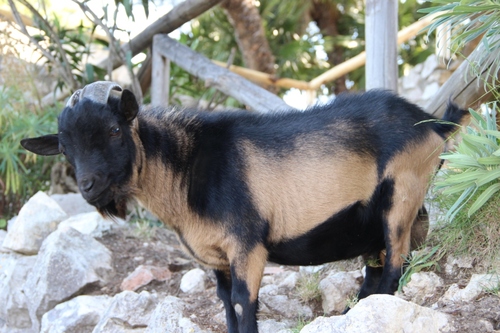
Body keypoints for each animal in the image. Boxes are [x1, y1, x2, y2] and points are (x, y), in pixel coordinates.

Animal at [21, 81, 466, 332]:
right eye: (64, 147)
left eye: (115, 129)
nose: (88, 186)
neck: (189, 170)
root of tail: (433, 124)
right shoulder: (214, 256)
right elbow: (226, 306)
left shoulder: (247, 246)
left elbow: (242, 302)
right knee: (377, 268)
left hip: (402, 194)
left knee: (395, 261)